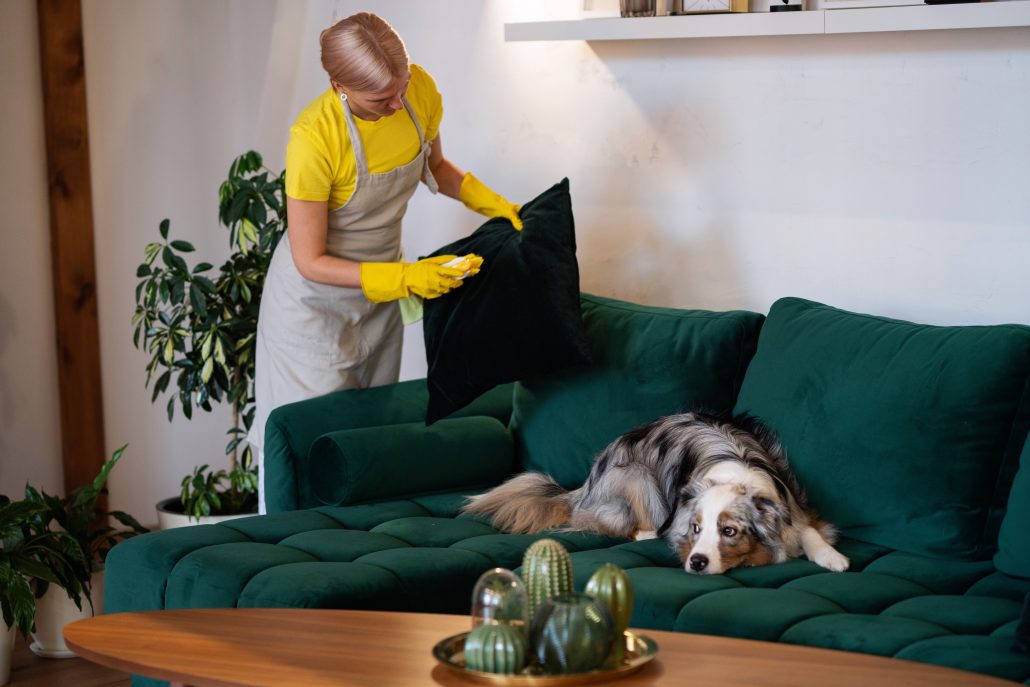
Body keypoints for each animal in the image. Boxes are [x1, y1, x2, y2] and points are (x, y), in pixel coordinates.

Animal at [463, 411, 848, 576]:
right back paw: (647, 533)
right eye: (695, 529)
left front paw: (832, 558)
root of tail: (586, 486)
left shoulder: (795, 506)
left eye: (729, 530)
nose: (696, 562)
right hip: (637, 476)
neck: (736, 475)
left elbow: (810, 532)